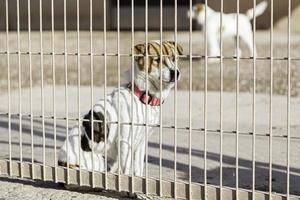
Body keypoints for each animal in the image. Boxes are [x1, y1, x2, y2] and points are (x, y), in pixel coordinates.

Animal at [56, 40, 183, 177]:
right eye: (157, 60)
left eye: (174, 58)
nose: (175, 73)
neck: (142, 95)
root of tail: (61, 162)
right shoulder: (125, 141)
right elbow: (126, 170)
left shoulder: (141, 142)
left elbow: (138, 168)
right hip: (98, 162)